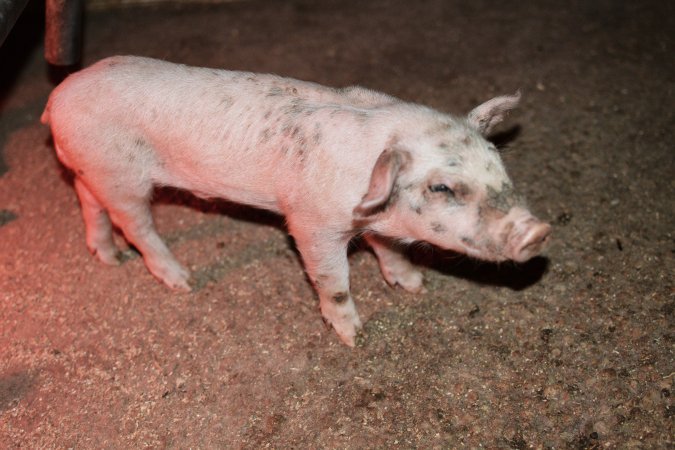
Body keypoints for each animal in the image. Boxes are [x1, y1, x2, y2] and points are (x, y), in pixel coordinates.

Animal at [41, 55, 548, 344]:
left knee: (88, 200)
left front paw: (414, 286)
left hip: (91, 167)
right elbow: (333, 280)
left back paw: (107, 258)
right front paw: (353, 337)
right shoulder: (310, 222)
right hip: (121, 175)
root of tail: (58, 96)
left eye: (497, 163)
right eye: (441, 187)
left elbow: (390, 249)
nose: (538, 231)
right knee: (137, 225)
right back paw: (182, 280)